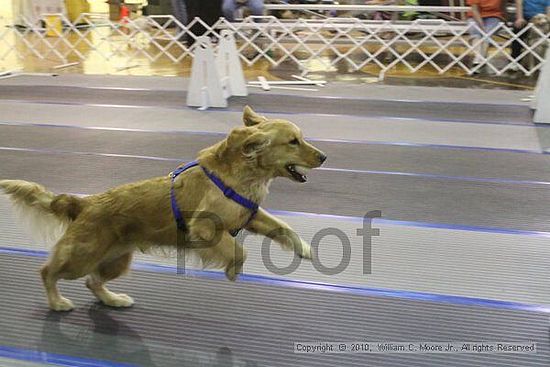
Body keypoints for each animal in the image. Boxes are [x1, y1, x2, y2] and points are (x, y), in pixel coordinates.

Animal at [1, 107, 328, 314]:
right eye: (293, 141)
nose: (324, 157)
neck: (241, 174)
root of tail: (85, 202)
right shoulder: (205, 227)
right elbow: (239, 251)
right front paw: (233, 272)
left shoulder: (251, 215)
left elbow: (284, 227)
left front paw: (304, 248)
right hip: (82, 257)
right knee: (47, 271)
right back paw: (57, 303)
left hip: (115, 260)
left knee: (92, 281)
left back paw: (114, 299)